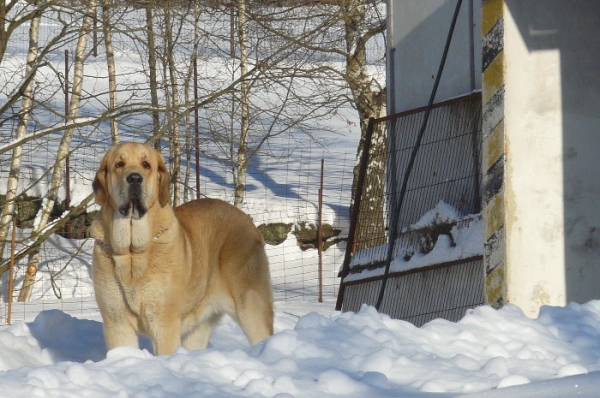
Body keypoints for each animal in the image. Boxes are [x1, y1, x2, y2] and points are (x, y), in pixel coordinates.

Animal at [89, 142, 274, 354]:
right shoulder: (117, 323)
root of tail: (249, 222)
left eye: (146, 164)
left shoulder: (164, 323)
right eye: (119, 164)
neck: (132, 252)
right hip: (198, 328)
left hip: (251, 308)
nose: (134, 178)